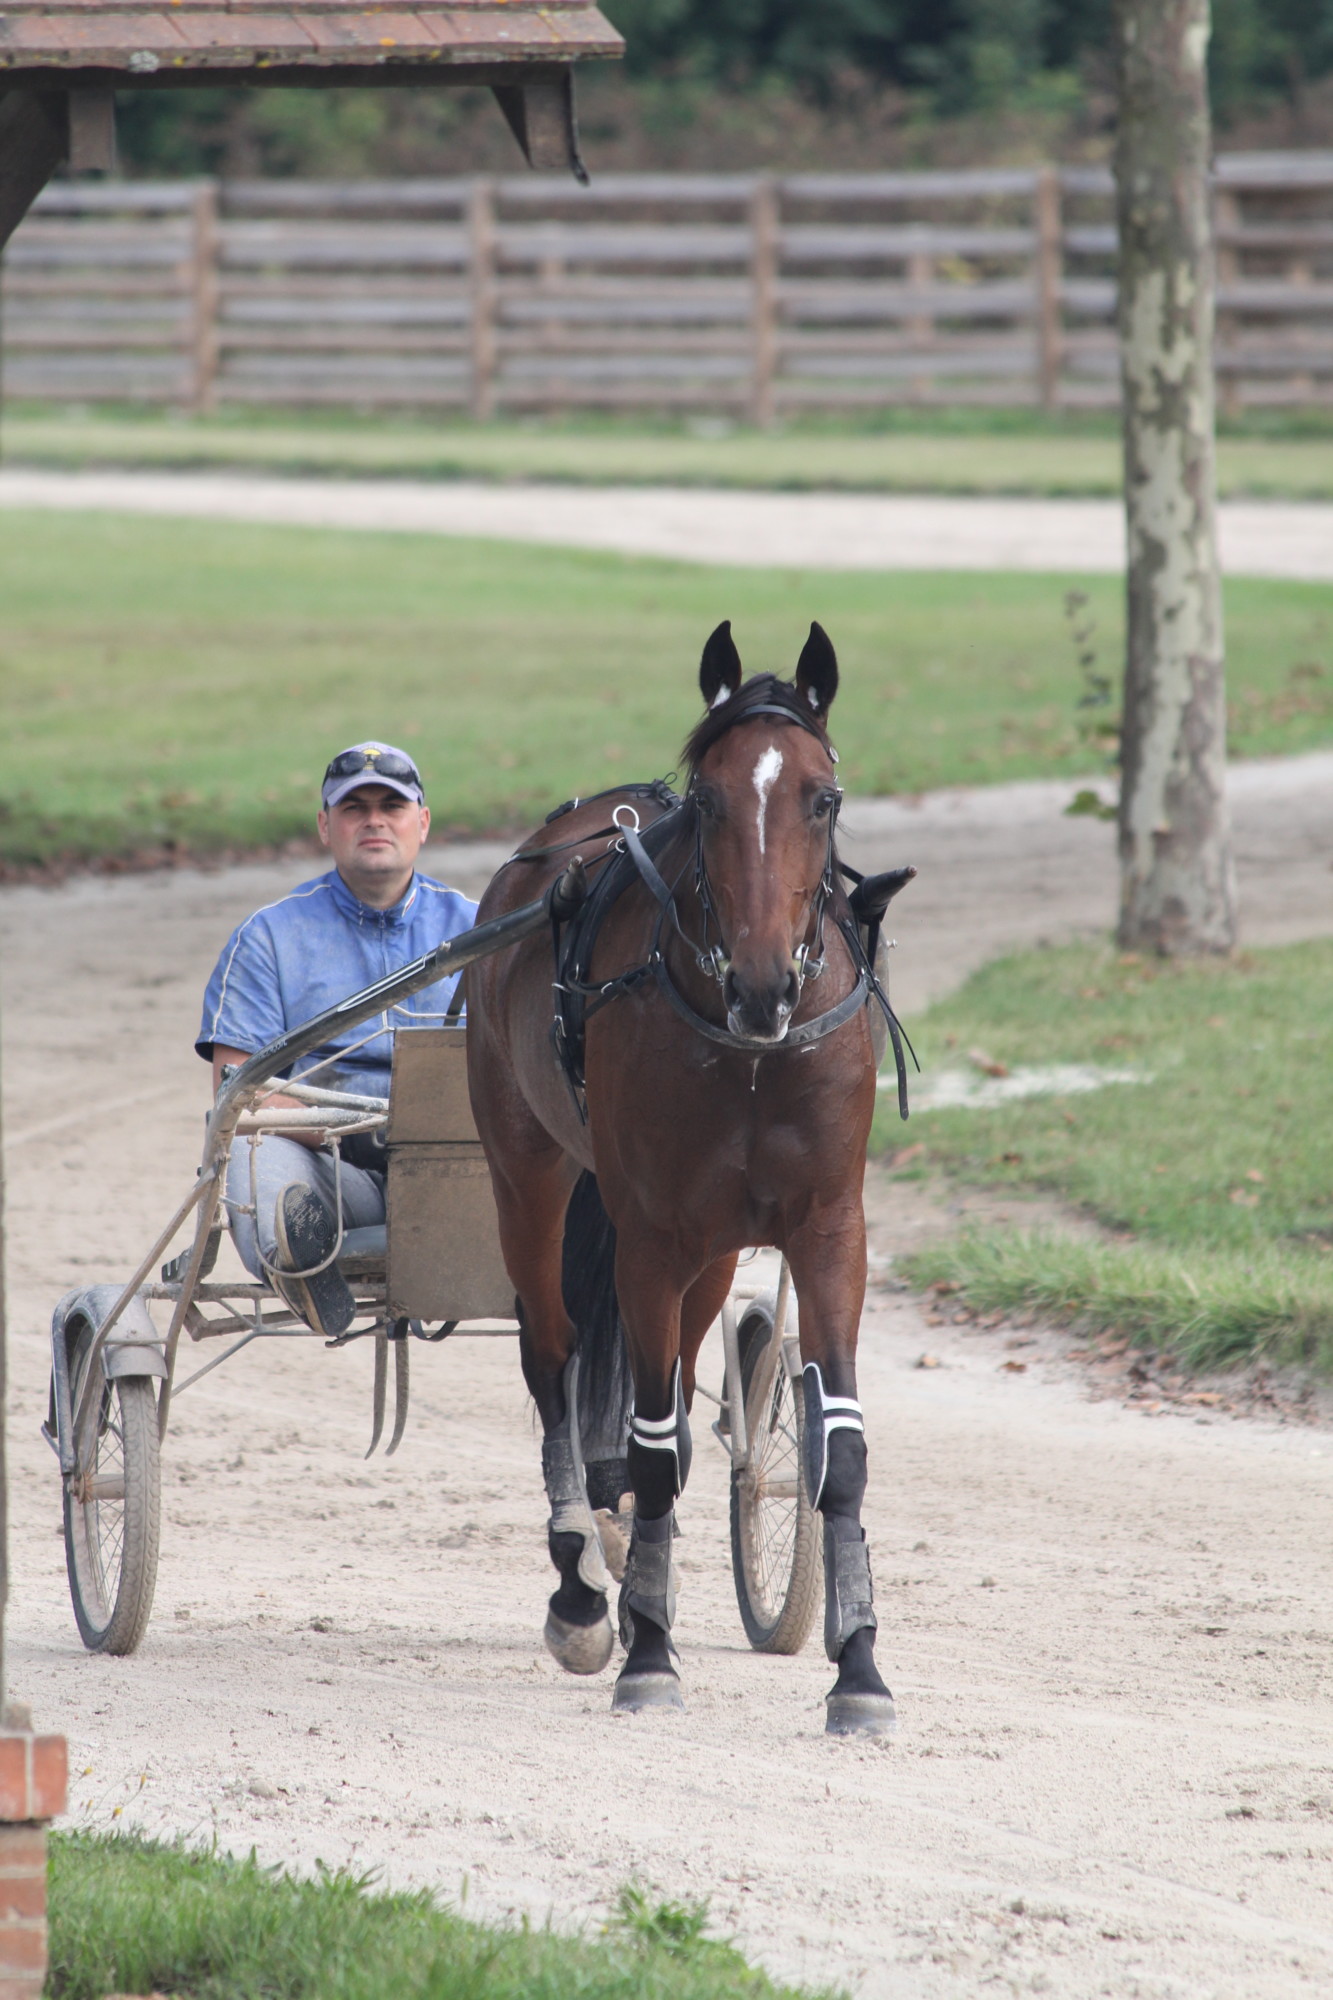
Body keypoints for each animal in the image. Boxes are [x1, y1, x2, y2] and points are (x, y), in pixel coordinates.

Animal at [462, 620, 908, 1736]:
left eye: (821, 796)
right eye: (708, 801)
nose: (762, 982)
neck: (748, 1049)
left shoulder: (829, 1228)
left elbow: (840, 1447)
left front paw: (858, 1665)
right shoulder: (651, 1233)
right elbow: (653, 1440)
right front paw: (649, 1649)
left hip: (708, 1248)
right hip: (526, 1171)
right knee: (551, 1351)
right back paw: (585, 1584)